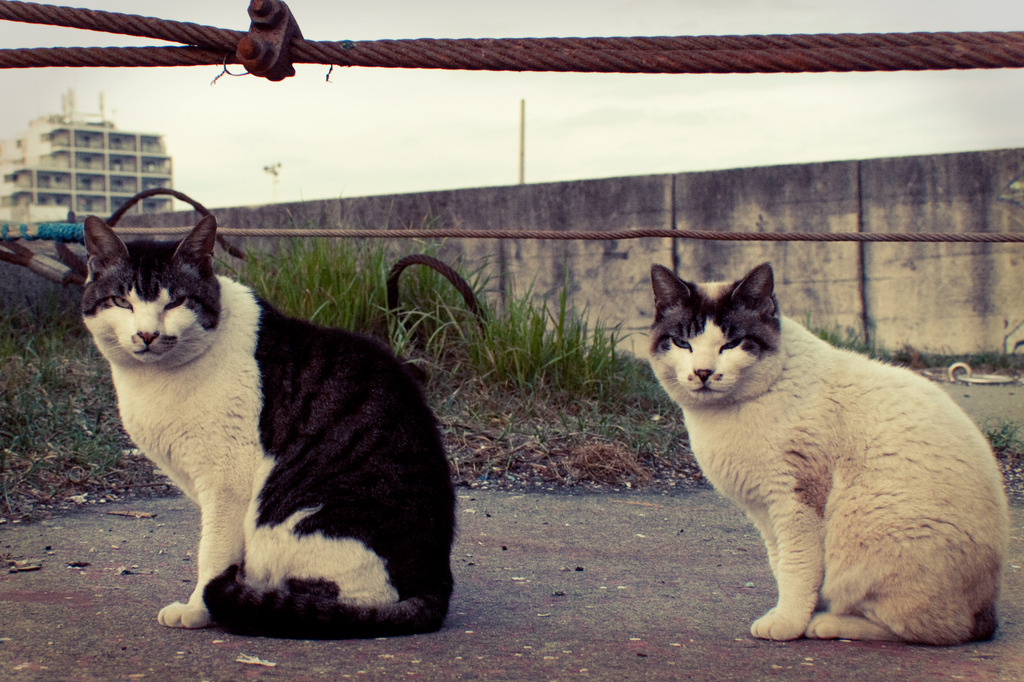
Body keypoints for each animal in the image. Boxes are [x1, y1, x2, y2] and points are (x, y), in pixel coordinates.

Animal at [81, 214, 458, 638]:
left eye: (176, 301)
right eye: (121, 301)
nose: (147, 334)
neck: (155, 380)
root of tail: (435, 582)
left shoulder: (227, 483)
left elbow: (213, 553)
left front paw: (197, 610)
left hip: (292, 523)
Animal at [647, 260, 1007, 643]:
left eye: (731, 344)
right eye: (683, 343)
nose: (703, 372)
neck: (722, 415)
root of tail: (987, 611)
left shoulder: (795, 502)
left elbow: (798, 567)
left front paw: (788, 624)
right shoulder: (764, 510)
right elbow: (782, 565)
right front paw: (794, 613)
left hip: (867, 522)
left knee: (929, 629)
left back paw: (827, 624)